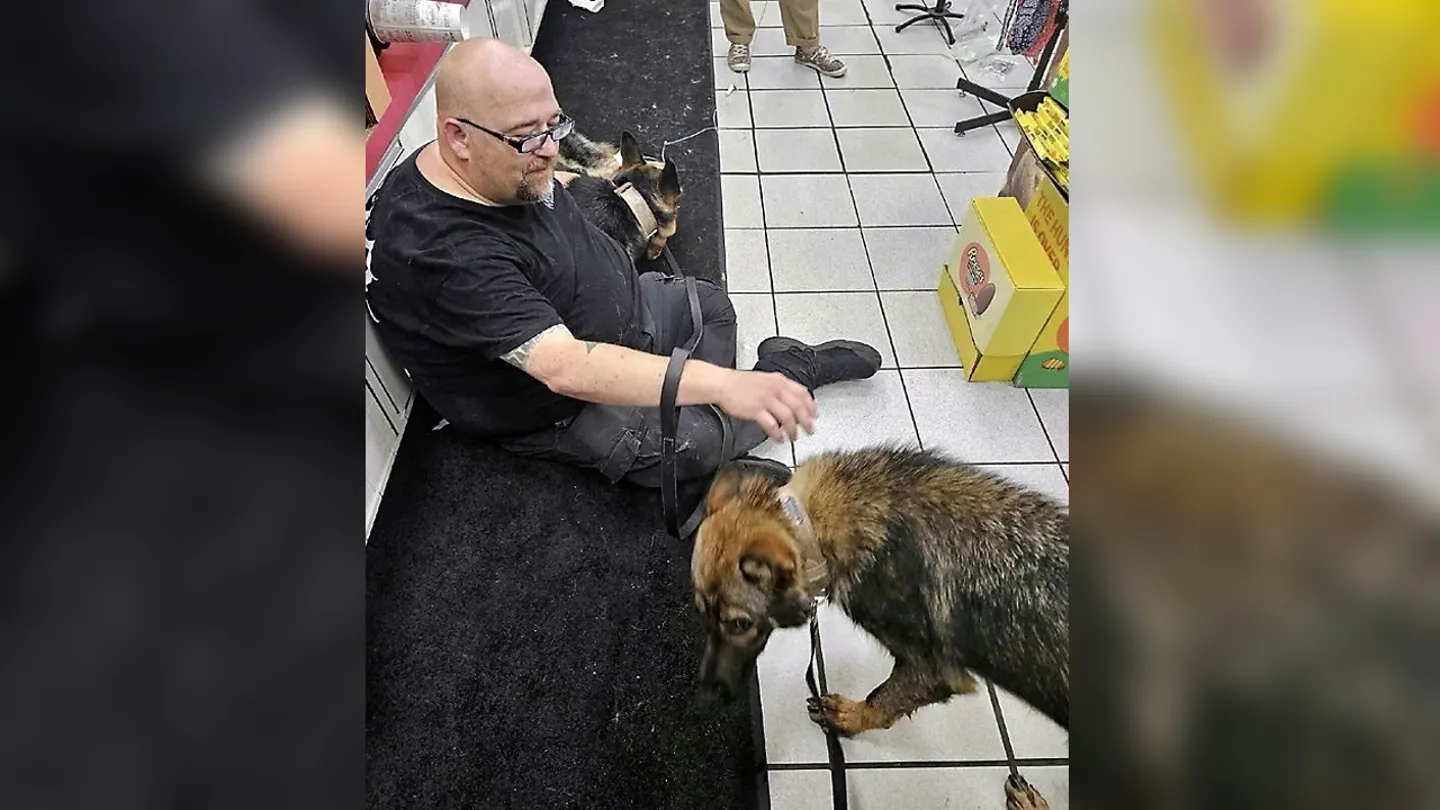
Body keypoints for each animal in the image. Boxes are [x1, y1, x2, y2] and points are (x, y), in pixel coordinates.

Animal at [685, 443, 1071, 801]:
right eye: (701, 614)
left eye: (739, 625)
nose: (705, 695)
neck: (810, 523)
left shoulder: (931, 671)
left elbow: (882, 700)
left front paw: (850, 718)